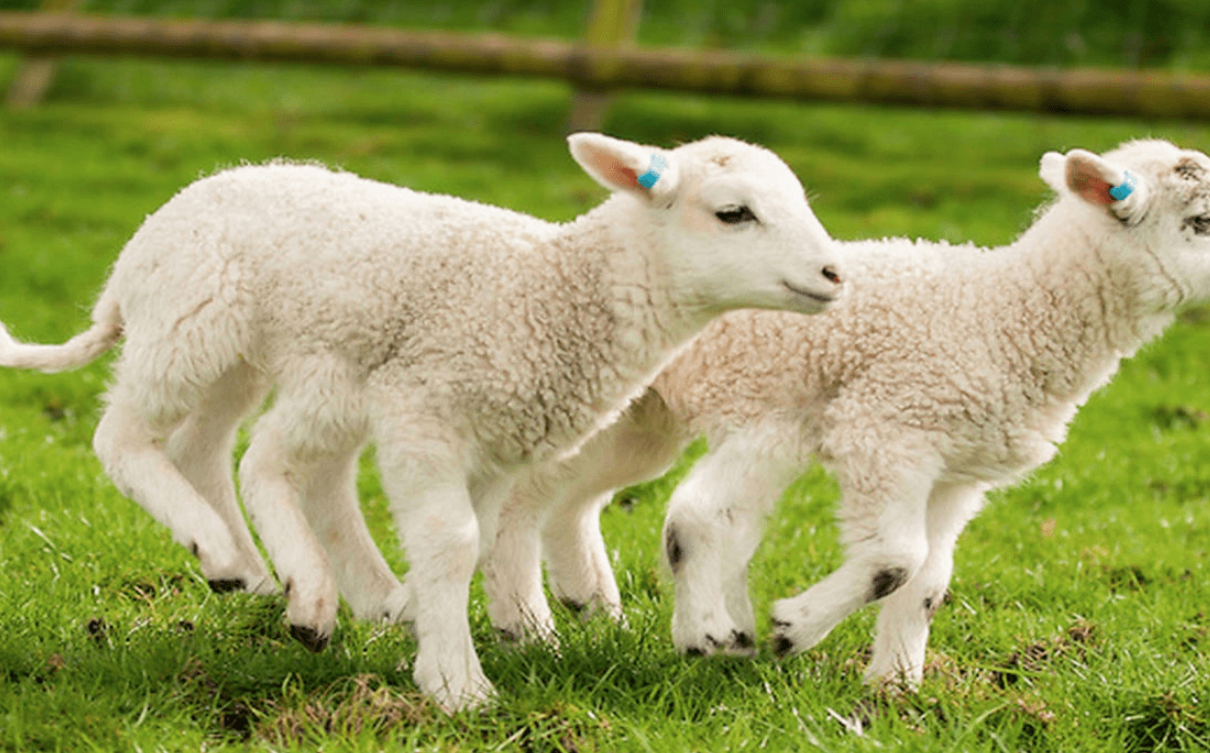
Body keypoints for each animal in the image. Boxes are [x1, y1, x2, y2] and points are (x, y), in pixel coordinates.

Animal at [0, 132, 842, 711]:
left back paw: (252, 571)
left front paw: (429, 624)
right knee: (130, 438)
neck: (549, 290)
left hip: (257, 357)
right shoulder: (425, 412)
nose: (835, 273)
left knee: (211, 449)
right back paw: (244, 557)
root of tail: (140, 245)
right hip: (191, 326)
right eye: (732, 213)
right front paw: (456, 684)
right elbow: (453, 541)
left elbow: (477, 541)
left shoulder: (497, 444)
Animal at [476, 138, 1205, 687]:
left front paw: (897, 690)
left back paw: (588, 609)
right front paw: (792, 629)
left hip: (638, 419)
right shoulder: (888, 427)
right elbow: (897, 559)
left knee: (567, 500)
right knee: (530, 495)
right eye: (1201, 222)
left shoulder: (957, 471)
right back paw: (533, 628)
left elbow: (930, 581)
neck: (1003, 313)